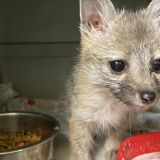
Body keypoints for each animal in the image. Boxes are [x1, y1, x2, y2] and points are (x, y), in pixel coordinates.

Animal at [68, 0, 160, 159]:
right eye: (117, 65)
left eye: (157, 65)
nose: (150, 97)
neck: (108, 103)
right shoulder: (79, 122)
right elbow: (81, 152)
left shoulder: (121, 122)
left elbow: (114, 139)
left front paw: (112, 151)